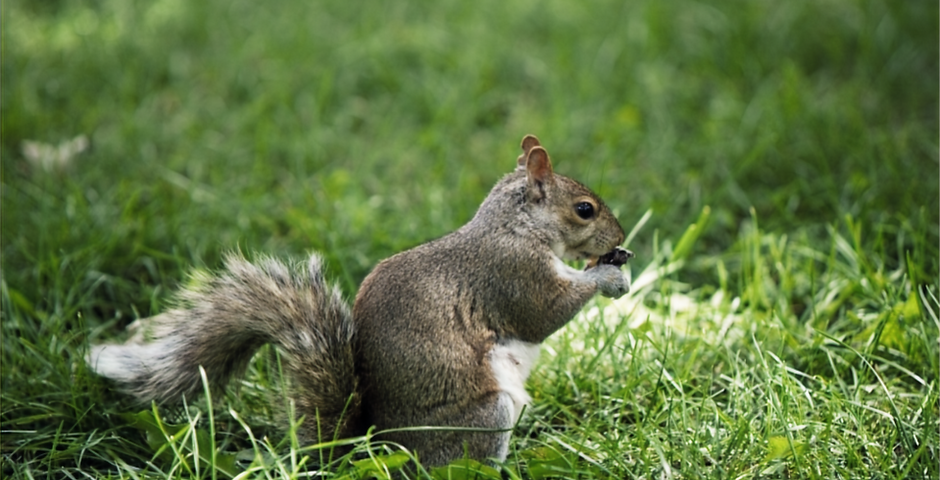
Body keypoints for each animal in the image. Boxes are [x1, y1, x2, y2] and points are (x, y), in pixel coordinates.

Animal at [87, 135, 633, 468]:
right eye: (584, 209)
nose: (620, 236)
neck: (514, 226)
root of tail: (371, 449)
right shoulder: (511, 275)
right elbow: (544, 314)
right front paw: (607, 275)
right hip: (484, 418)